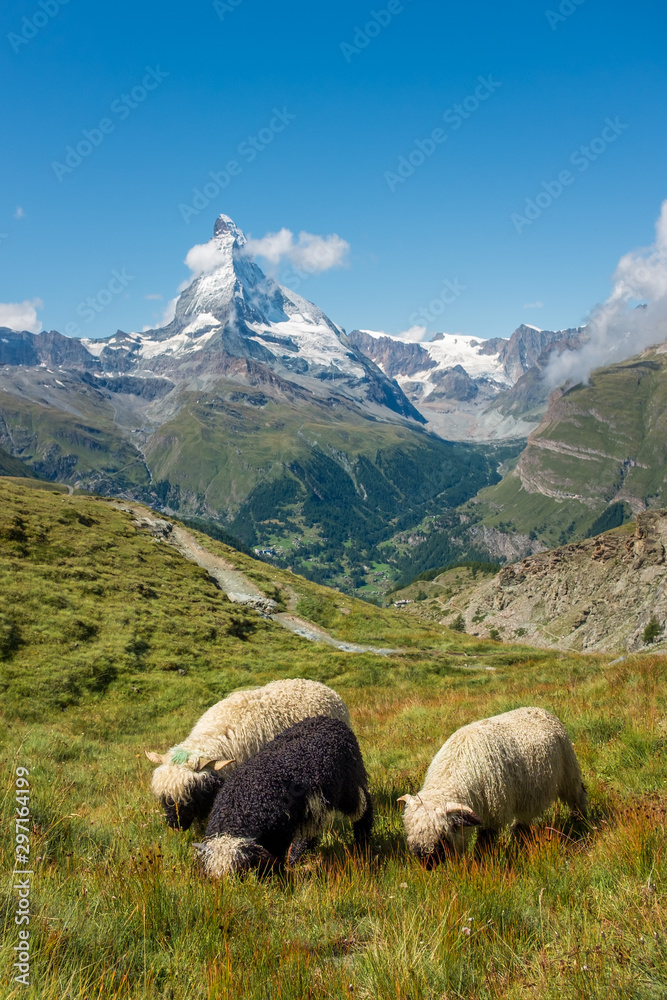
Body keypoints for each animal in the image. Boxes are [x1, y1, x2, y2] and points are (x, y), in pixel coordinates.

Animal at [194, 715, 373, 877]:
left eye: (241, 871)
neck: (240, 807)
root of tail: (330, 720)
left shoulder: (279, 836)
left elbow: (276, 860)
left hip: (351, 785)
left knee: (364, 809)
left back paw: (362, 844)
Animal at [399, 706, 587, 862]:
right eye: (409, 832)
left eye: (443, 834)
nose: (427, 864)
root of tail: (540, 709)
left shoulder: (494, 811)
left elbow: (485, 841)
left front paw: (479, 863)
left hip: (568, 771)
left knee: (578, 796)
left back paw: (580, 821)